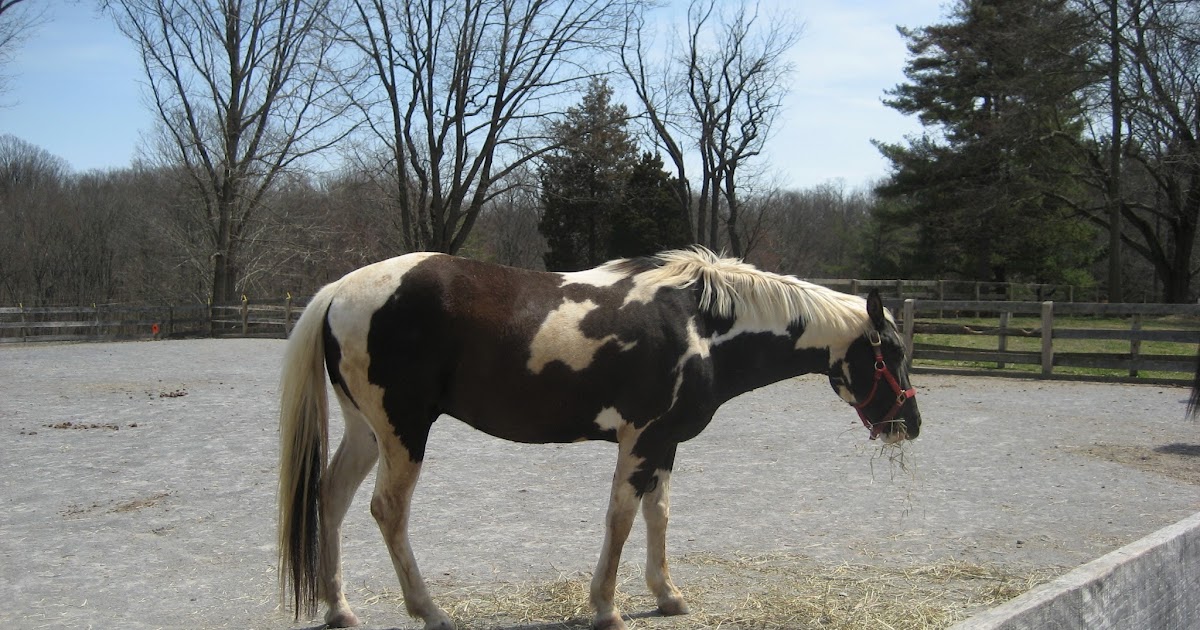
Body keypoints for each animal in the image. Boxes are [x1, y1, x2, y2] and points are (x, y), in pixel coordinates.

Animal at [277, 247, 921, 630]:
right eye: (889, 352)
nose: (910, 424)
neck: (701, 326)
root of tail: (341, 289)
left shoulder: (664, 444)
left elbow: (658, 516)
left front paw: (667, 595)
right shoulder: (640, 439)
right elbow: (621, 517)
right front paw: (605, 607)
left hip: (366, 431)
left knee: (331, 498)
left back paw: (340, 608)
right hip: (403, 431)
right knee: (387, 510)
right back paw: (429, 610)